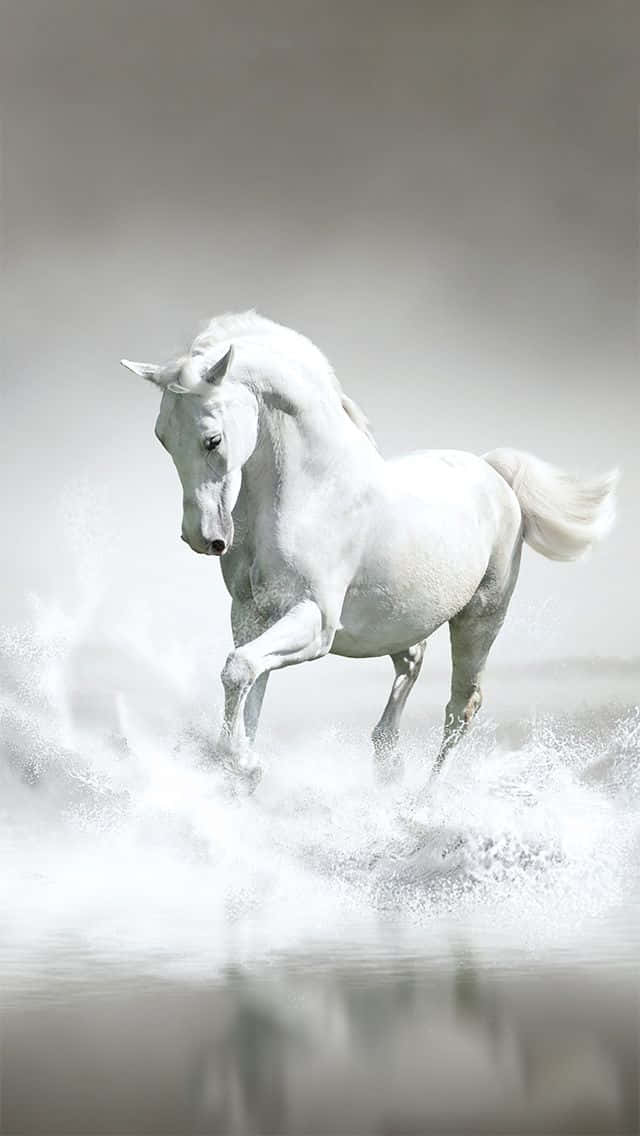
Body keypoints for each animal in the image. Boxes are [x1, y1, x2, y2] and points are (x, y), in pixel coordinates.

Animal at [121, 311, 618, 788]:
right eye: (162, 437)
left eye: (213, 439)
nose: (202, 537)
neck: (313, 492)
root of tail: (494, 473)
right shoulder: (251, 615)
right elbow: (249, 685)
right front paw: (239, 769)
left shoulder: (315, 621)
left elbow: (239, 670)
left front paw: (243, 765)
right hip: (400, 620)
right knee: (413, 664)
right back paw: (388, 762)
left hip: (481, 618)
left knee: (461, 707)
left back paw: (423, 799)